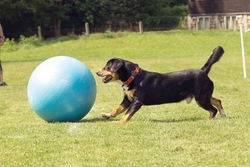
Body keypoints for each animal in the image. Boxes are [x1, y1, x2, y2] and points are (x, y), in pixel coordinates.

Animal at [96, 46, 227, 122]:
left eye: (107, 67)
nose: (97, 72)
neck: (134, 77)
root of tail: (203, 71)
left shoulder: (137, 102)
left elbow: (127, 114)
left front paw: (119, 122)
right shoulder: (127, 100)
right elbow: (117, 109)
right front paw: (107, 115)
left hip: (201, 98)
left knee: (213, 110)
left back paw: (209, 120)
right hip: (204, 95)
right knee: (218, 101)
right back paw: (223, 115)